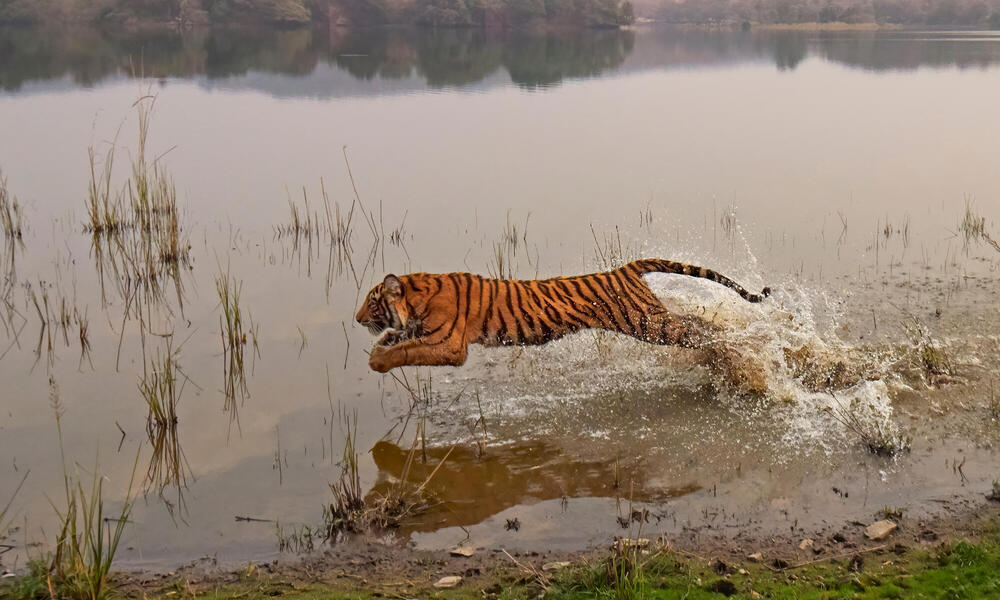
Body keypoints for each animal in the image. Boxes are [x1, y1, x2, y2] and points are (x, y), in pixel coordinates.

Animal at [356, 258, 768, 372]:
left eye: (372, 301)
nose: (357, 319)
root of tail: (626, 268)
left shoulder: (449, 344)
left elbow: (407, 351)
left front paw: (377, 361)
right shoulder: (425, 331)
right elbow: (401, 339)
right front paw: (380, 347)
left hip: (648, 323)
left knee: (700, 330)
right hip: (652, 319)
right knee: (701, 324)